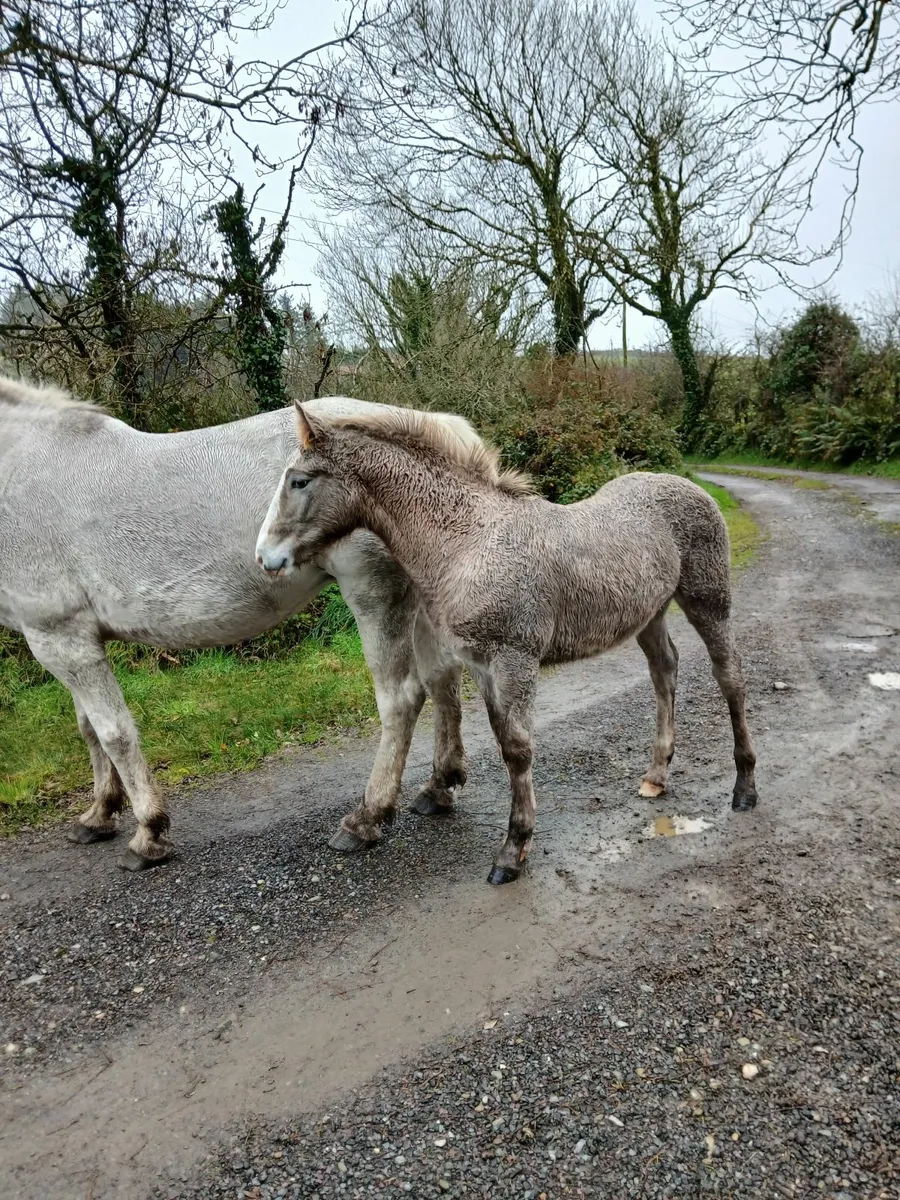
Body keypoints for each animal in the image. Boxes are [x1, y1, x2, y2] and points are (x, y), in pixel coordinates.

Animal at [0, 378, 471, 871]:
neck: (17, 467)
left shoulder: (59, 638)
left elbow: (115, 734)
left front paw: (148, 832)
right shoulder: (73, 640)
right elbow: (90, 729)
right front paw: (99, 814)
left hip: (375, 593)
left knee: (401, 699)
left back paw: (366, 818)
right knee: (443, 679)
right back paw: (438, 788)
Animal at [256, 402, 759, 885]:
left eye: (299, 481)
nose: (265, 557)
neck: (469, 541)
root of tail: (689, 486)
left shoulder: (515, 659)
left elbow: (518, 749)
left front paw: (512, 851)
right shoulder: (481, 664)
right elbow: (503, 742)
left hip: (708, 600)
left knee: (729, 676)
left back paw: (745, 787)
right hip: (649, 614)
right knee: (664, 670)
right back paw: (656, 775)